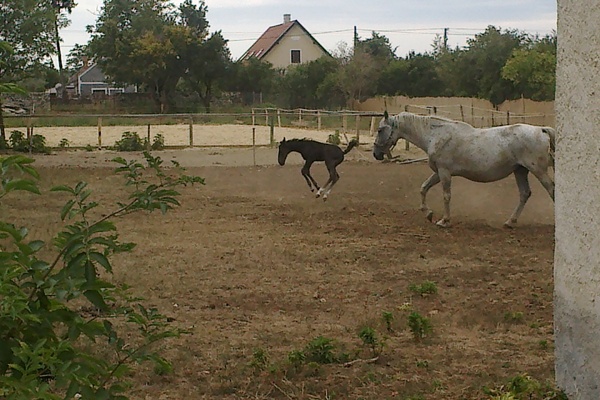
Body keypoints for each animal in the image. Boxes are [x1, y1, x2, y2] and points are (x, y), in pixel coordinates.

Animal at [372, 111, 556, 228]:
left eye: (380, 130)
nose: (376, 154)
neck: (435, 136)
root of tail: (541, 130)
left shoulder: (444, 172)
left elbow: (446, 196)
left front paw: (444, 221)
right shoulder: (438, 172)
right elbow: (423, 188)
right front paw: (428, 213)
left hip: (538, 171)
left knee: (552, 190)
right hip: (520, 171)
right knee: (525, 194)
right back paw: (510, 222)